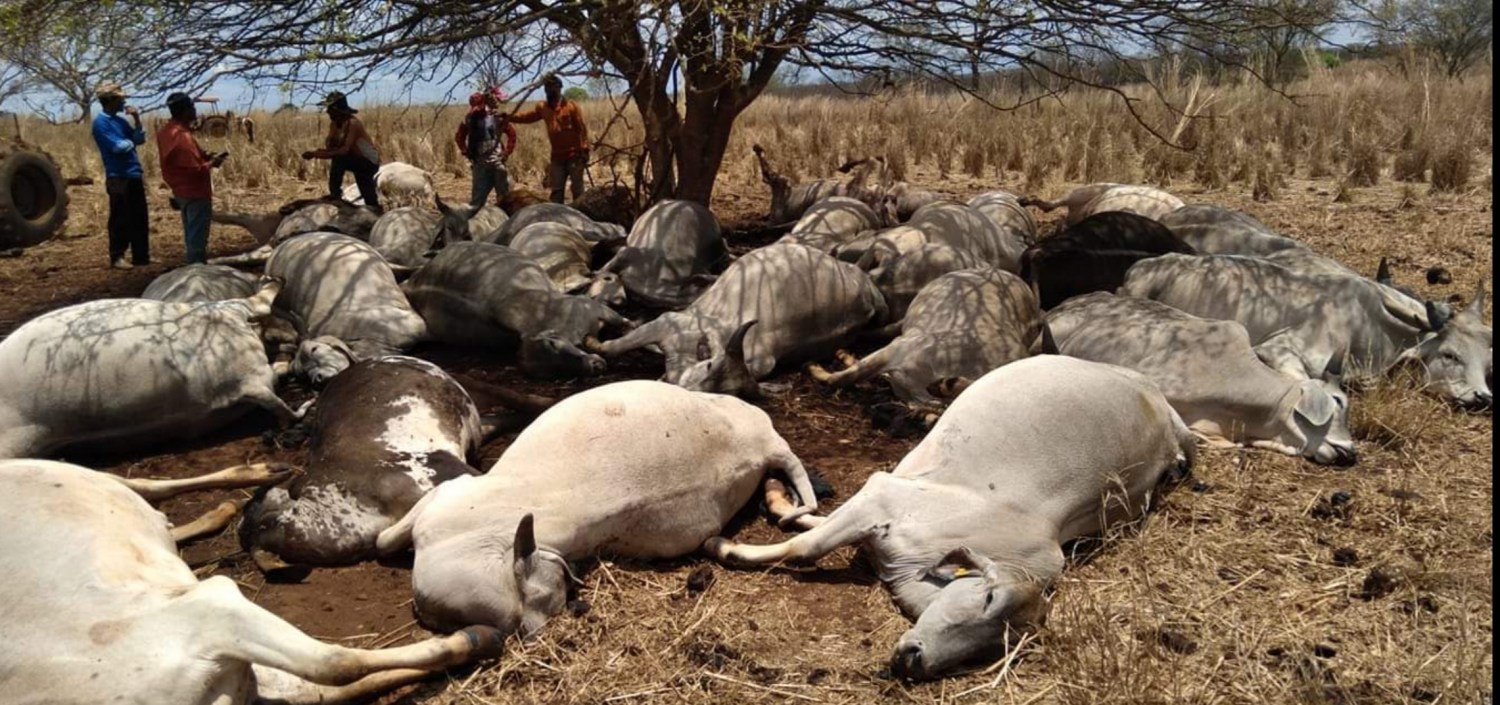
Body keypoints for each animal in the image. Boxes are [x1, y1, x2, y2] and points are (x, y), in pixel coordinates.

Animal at [0, 459, 504, 705]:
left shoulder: (214, 620)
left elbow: (332, 673)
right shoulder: (214, 625)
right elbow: (336, 670)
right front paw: (472, 639)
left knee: (143, 484)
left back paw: (257, 478)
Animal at [705, 361, 1194, 681]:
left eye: (995, 646)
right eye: (988, 600)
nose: (916, 661)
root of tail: (1161, 404)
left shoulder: (878, 509)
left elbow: (810, 534)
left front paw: (760, 517)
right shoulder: (883, 495)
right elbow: (807, 541)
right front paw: (730, 539)